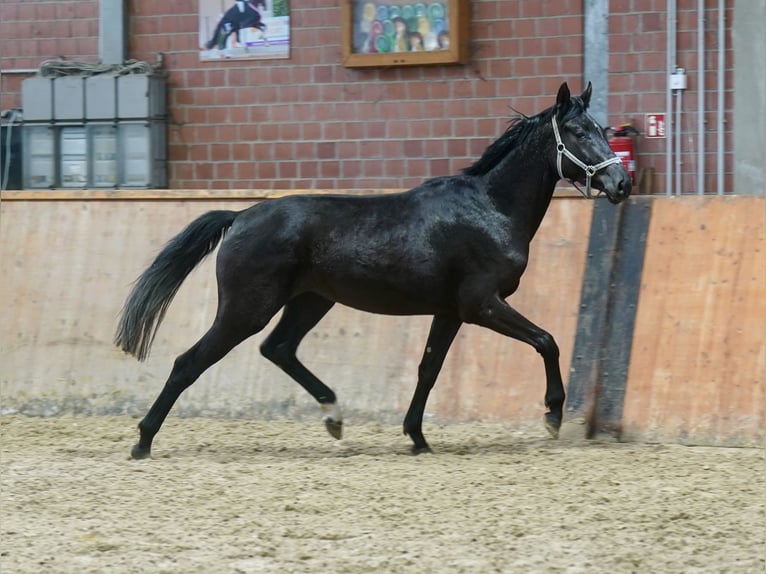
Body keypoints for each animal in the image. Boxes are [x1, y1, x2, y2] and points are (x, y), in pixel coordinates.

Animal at [114, 82, 632, 460]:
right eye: (579, 132)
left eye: (604, 128)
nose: (622, 182)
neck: (490, 208)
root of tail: (240, 216)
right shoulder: (482, 304)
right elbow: (546, 340)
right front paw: (552, 416)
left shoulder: (451, 311)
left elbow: (428, 369)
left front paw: (417, 438)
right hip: (247, 309)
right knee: (189, 363)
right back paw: (142, 442)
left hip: (310, 301)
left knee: (278, 349)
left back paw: (334, 416)